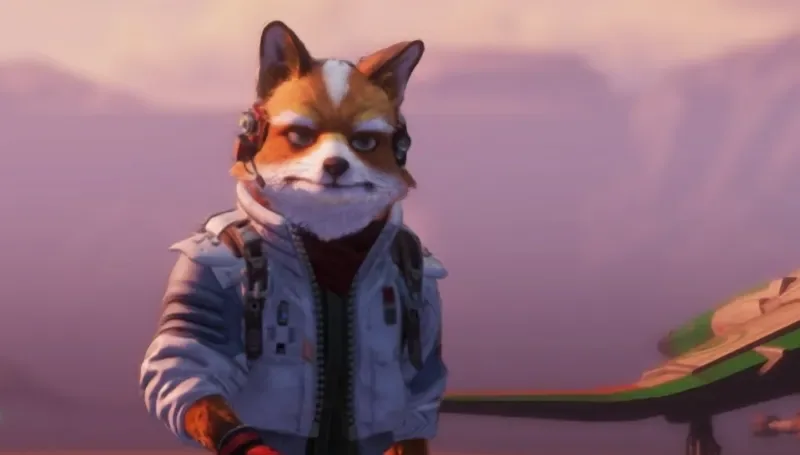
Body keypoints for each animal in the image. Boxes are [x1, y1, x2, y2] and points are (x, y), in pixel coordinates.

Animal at [139, 21, 447, 455]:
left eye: (364, 143)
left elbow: (418, 392)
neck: (329, 243)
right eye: (301, 136)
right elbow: (187, 364)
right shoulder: (201, 274)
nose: (335, 165)